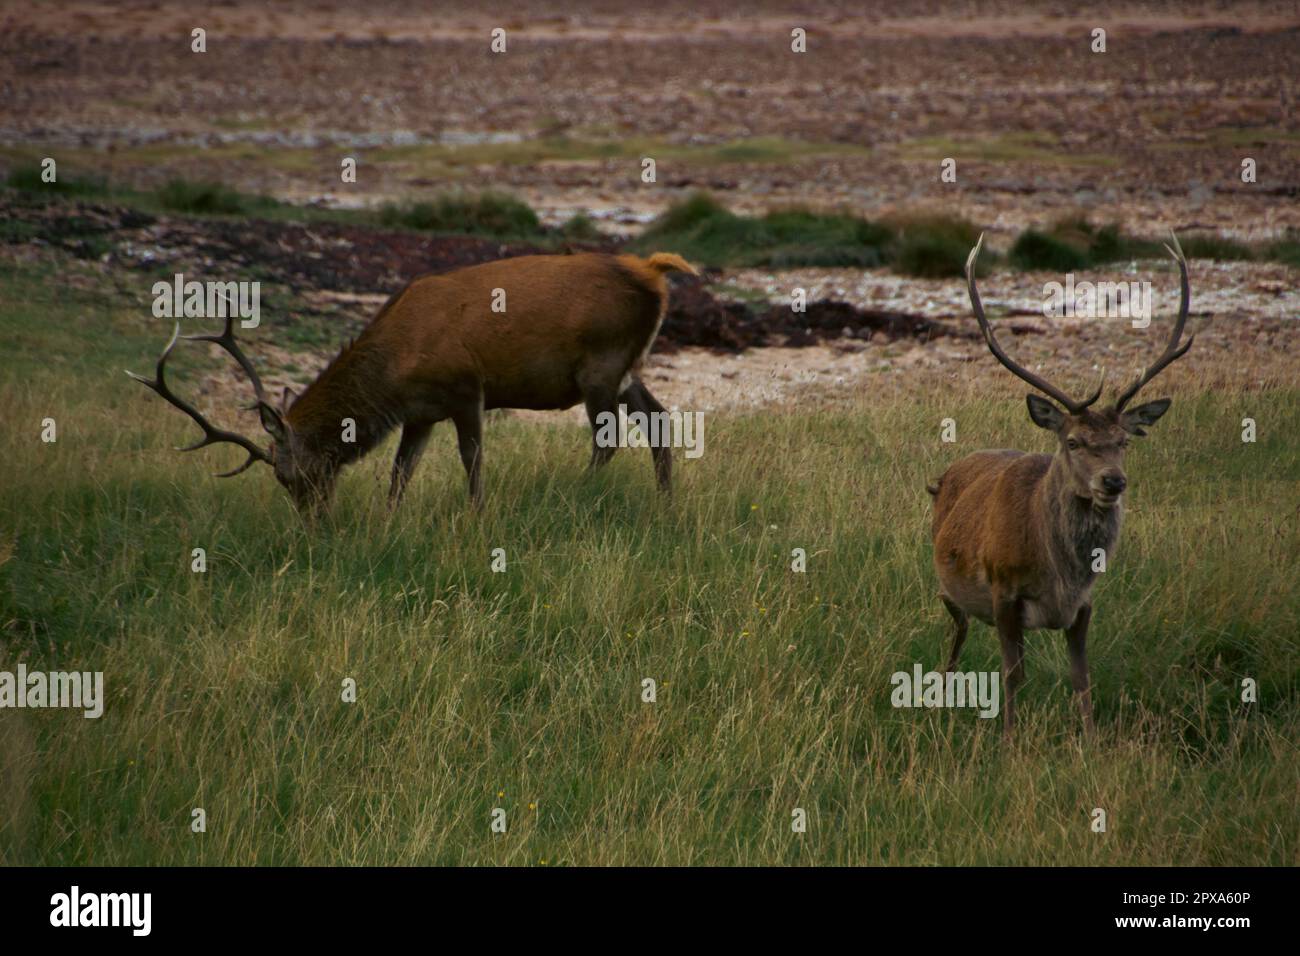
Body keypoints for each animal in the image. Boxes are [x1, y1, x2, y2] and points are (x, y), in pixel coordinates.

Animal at [127, 251, 698, 517]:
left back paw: (578, 495)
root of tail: (654, 272)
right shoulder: (420, 412)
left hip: (599, 365)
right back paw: (667, 505)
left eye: (289, 477)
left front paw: (476, 515)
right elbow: (400, 473)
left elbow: (472, 459)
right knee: (658, 419)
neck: (394, 370)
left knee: (609, 439)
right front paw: (387, 522)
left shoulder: (467, 385)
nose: (314, 526)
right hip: (627, 367)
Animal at [928, 231, 1194, 736]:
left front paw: (1090, 740)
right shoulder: (1003, 592)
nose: (1113, 481)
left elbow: (1081, 676)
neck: (1061, 576)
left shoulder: (1084, 605)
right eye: (1073, 441)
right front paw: (1009, 742)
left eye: (1123, 441)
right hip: (949, 588)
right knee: (956, 636)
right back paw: (943, 703)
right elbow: (1012, 674)